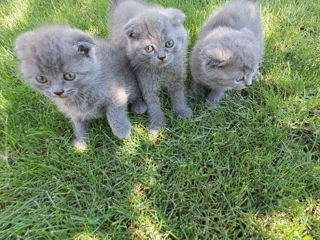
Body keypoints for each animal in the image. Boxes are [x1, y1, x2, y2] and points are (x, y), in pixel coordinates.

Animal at [14, 24, 146, 149]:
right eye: (41, 79)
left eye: (69, 76)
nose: (58, 92)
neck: (80, 94)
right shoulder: (74, 112)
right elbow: (78, 124)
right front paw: (81, 141)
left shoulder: (116, 90)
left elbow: (115, 110)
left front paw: (122, 130)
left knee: (135, 92)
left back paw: (139, 106)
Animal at [107, 0, 192, 134]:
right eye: (149, 49)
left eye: (169, 43)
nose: (162, 57)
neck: (162, 70)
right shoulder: (147, 82)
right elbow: (153, 104)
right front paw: (157, 125)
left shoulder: (176, 78)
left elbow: (178, 95)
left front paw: (182, 111)